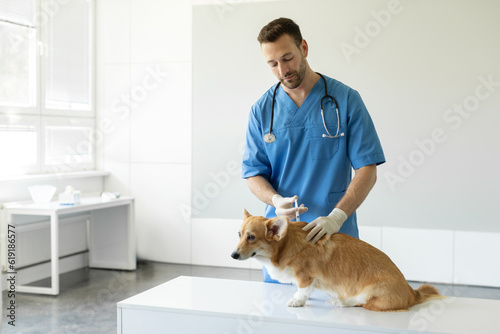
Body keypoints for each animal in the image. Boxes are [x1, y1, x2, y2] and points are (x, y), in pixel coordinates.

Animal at [230, 210, 442, 312]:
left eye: (251, 237)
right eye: (239, 234)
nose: (233, 255)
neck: (285, 245)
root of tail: (412, 293)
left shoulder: (305, 275)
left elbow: (302, 291)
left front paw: (297, 301)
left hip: (373, 291)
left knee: (362, 303)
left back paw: (341, 302)